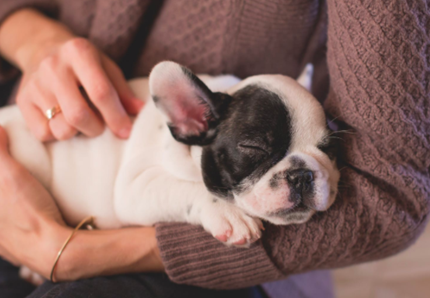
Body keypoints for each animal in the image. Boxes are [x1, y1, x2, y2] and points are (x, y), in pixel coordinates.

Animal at [0, 60, 340, 247]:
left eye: (329, 148)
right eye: (253, 147)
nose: (301, 174)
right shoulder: (135, 187)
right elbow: (186, 188)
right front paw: (227, 213)